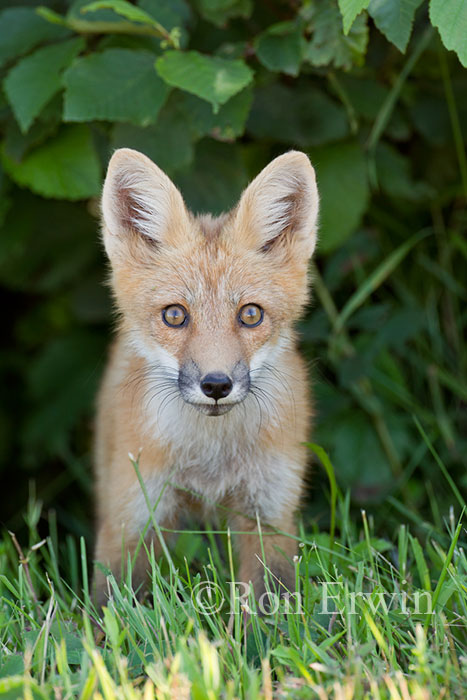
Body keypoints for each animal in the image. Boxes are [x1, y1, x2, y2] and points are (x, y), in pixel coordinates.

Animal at [95, 149, 322, 608]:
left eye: (250, 314)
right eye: (174, 315)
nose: (216, 385)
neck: (211, 459)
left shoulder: (268, 513)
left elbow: (269, 608)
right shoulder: (133, 515)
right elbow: (111, 608)